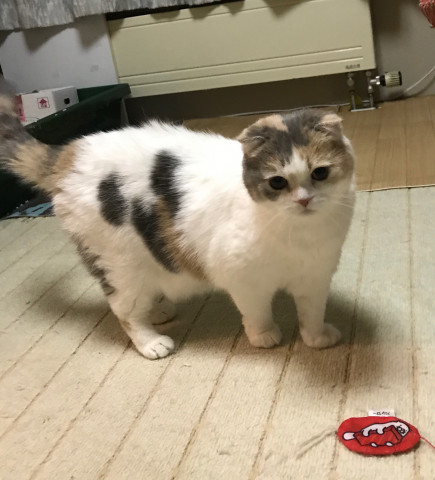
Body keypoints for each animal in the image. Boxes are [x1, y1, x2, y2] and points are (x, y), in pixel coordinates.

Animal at [0, 94, 355, 360]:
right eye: (277, 182)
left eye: (320, 173)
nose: (304, 200)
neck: (302, 237)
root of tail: (69, 153)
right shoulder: (243, 279)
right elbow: (257, 312)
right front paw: (265, 336)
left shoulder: (315, 276)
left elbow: (312, 312)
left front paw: (316, 338)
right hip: (120, 266)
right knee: (125, 312)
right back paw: (151, 342)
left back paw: (159, 310)